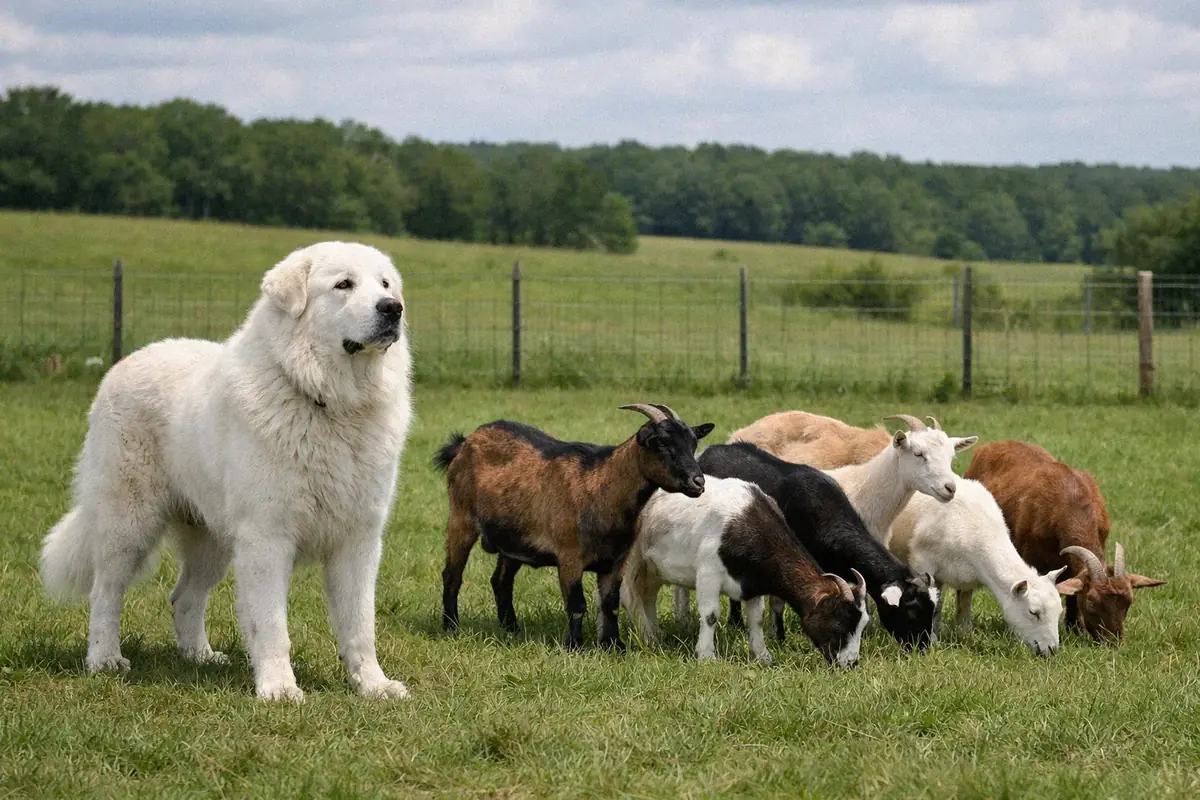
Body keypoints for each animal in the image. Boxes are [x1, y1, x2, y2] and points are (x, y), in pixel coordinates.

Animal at [435, 403, 713, 651]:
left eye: (693, 443)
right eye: (662, 443)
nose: (698, 482)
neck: (601, 487)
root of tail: (464, 443)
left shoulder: (615, 561)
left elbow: (610, 604)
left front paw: (614, 646)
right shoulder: (569, 556)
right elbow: (576, 605)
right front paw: (575, 646)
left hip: (513, 540)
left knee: (501, 580)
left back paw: (512, 629)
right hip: (461, 518)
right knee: (452, 575)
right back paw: (451, 627)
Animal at [622, 476, 868, 667]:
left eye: (863, 624)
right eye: (840, 621)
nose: (851, 663)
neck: (745, 522)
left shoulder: (752, 581)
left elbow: (756, 618)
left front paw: (762, 655)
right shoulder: (709, 571)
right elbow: (710, 615)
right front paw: (707, 655)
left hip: (653, 568)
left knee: (647, 596)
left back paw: (655, 634)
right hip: (632, 558)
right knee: (629, 595)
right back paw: (648, 638)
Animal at [697, 442, 939, 652]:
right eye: (912, 610)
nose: (921, 648)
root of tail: (713, 450)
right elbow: (779, 601)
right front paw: (780, 638)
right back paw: (736, 622)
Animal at [888, 478, 1065, 656]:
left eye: (1059, 612)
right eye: (1033, 612)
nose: (1051, 650)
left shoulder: (966, 579)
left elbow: (963, 607)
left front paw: (964, 635)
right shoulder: (923, 563)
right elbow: (932, 606)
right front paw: (931, 640)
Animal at [964, 440, 1166, 642]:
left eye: (1129, 602)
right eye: (1091, 602)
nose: (1112, 642)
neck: (1071, 502)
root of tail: (991, 445)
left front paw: (1076, 629)